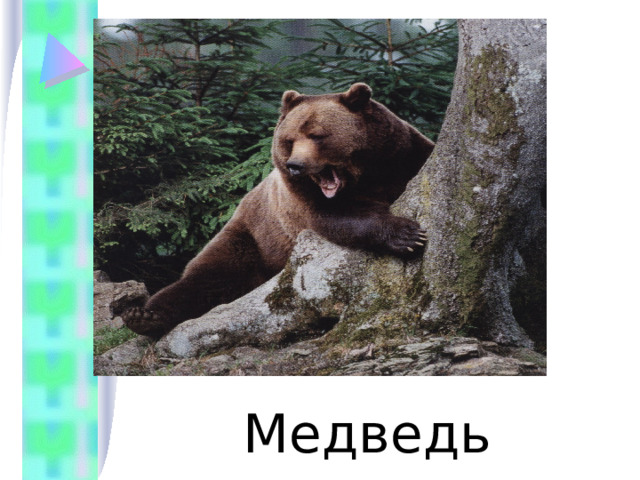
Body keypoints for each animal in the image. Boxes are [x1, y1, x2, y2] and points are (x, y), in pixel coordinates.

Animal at [123, 83, 435, 338]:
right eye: (289, 139)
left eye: (317, 135)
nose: (295, 165)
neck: (363, 176)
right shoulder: (302, 202)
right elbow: (343, 218)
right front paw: (406, 235)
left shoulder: (401, 152)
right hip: (250, 239)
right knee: (206, 278)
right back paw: (143, 315)